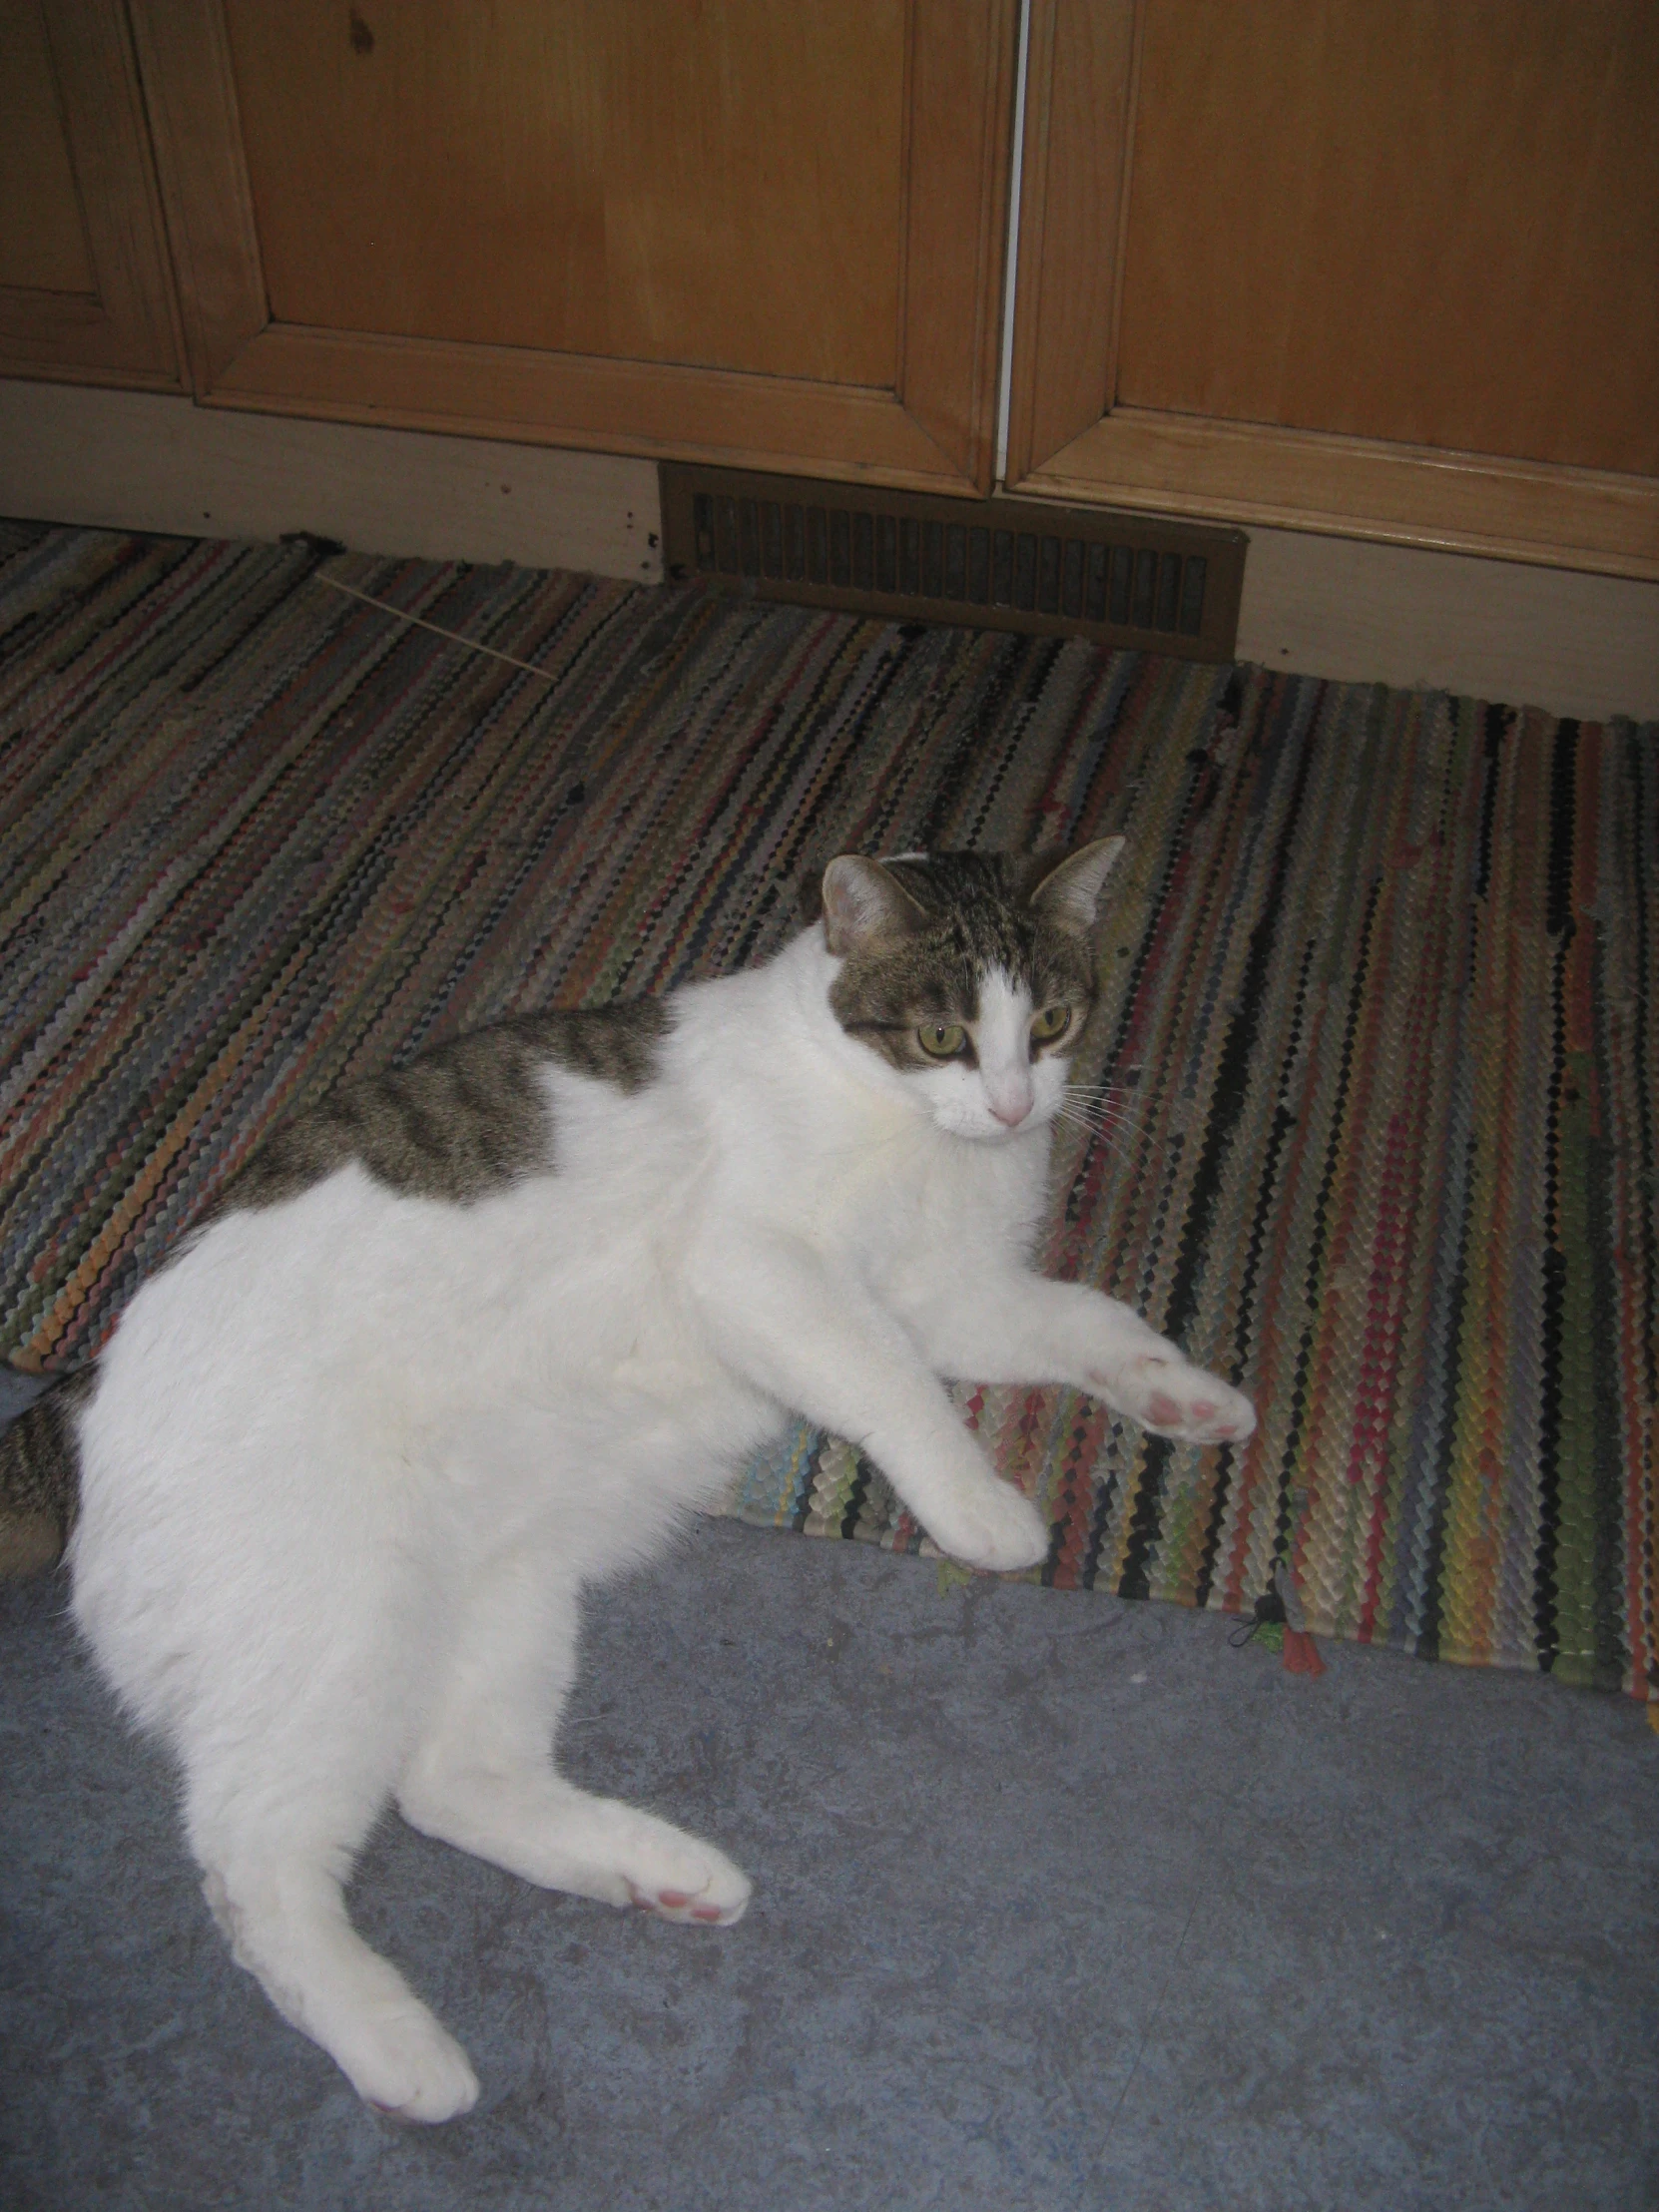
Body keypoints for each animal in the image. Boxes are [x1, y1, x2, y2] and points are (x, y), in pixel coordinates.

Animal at [0, 831, 1247, 2123]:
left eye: (1050, 1020)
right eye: (942, 1033)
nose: (1014, 1103)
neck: (907, 1123)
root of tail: (77, 1399)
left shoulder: (955, 1294)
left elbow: (1089, 1322)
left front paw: (1188, 1395)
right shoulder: (757, 1267)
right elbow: (896, 1382)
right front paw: (983, 1508)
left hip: (501, 1591)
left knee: (448, 1780)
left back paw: (661, 1873)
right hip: (338, 1625)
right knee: (254, 1858)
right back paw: (400, 2047)